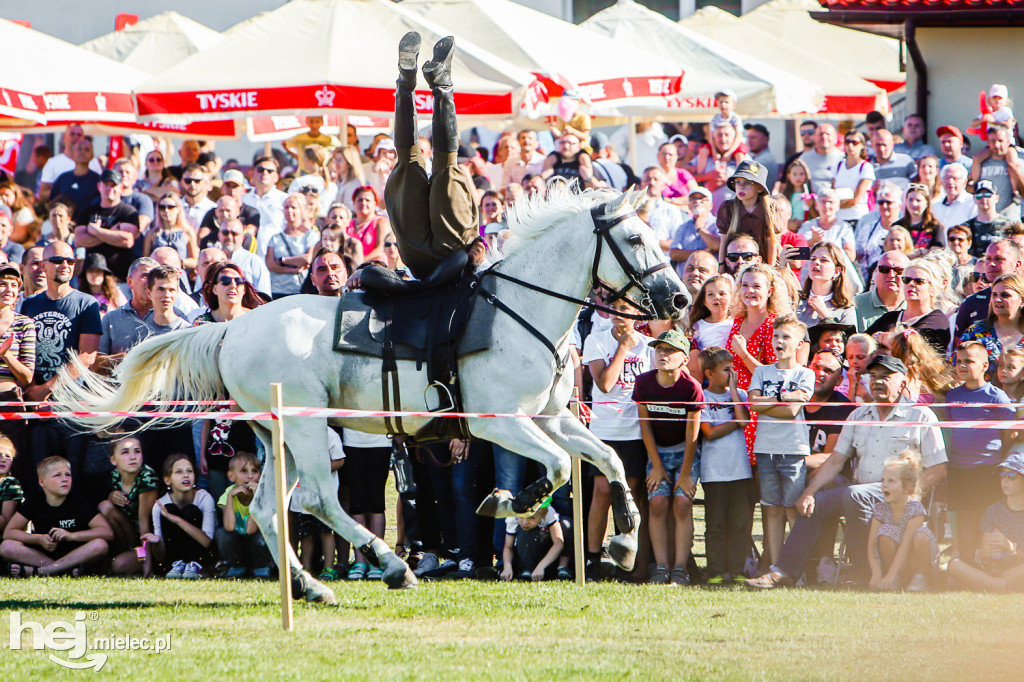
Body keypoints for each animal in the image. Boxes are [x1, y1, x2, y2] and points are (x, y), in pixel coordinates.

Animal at [54, 186, 688, 602]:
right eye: (635, 238)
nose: (680, 299)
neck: (520, 309)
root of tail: (235, 327)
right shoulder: (498, 422)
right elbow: (556, 468)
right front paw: (510, 501)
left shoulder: (553, 418)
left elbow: (608, 461)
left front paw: (624, 540)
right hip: (306, 427)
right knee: (318, 500)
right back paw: (388, 565)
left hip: (279, 434)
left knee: (269, 510)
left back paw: (310, 585)